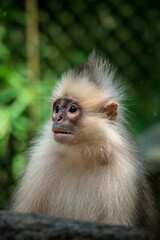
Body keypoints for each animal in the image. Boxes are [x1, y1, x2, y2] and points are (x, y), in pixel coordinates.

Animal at [11, 52, 156, 227]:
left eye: (72, 109)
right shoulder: (40, 161)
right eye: (57, 108)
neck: (81, 155)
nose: (58, 118)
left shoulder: (124, 171)